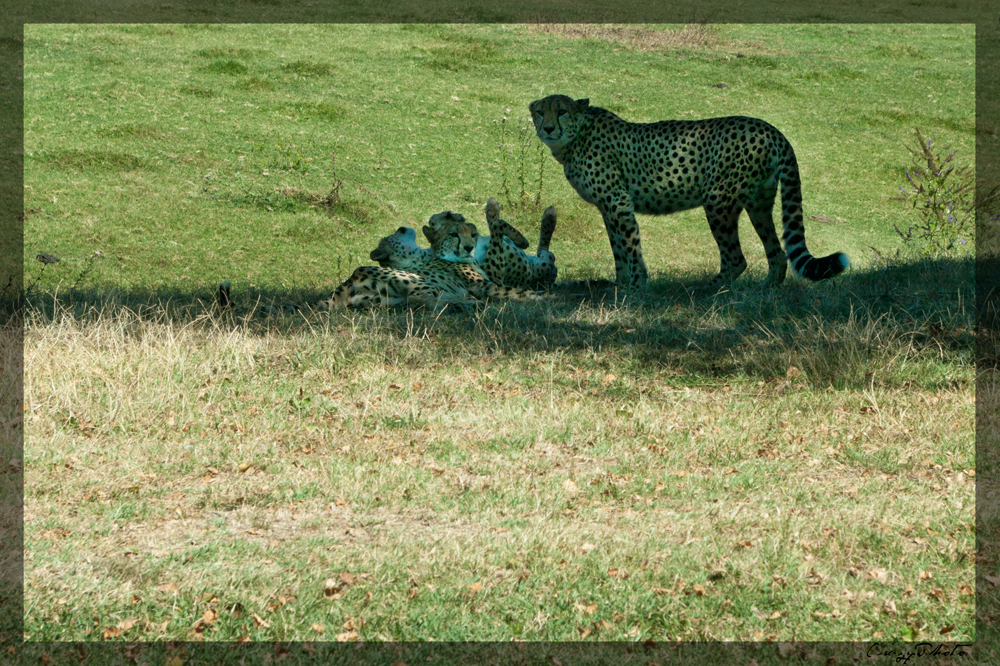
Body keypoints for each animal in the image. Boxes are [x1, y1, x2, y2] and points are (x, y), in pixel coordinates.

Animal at [528, 94, 848, 288]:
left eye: (562, 112)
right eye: (541, 112)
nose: (548, 129)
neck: (575, 139)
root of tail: (770, 128)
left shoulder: (618, 202)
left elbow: (631, 246)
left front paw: (638, 286)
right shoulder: (608, 209)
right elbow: (618, 249)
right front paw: (620, 285)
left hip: (718, 201)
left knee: (736, 258)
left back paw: (708, 289)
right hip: (758, 203)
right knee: (777, 253)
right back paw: (766, 290)